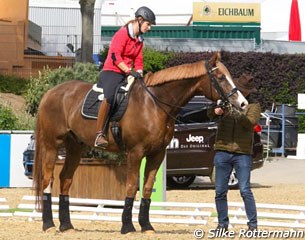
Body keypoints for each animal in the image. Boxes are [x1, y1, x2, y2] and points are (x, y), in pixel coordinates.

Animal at [33, 52, 247, 234]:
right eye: (220, 77)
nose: (243, 103)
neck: (153, 104)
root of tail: (50, 92)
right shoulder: (135, 153)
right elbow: (130, 186)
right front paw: (127, 226)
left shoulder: (157, 154)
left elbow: (147, 188)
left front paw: (146, 226)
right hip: (52, 145)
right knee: (47, 179)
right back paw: (48, 224)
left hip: (75, 146)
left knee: (65, 179)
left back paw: (66, 225)